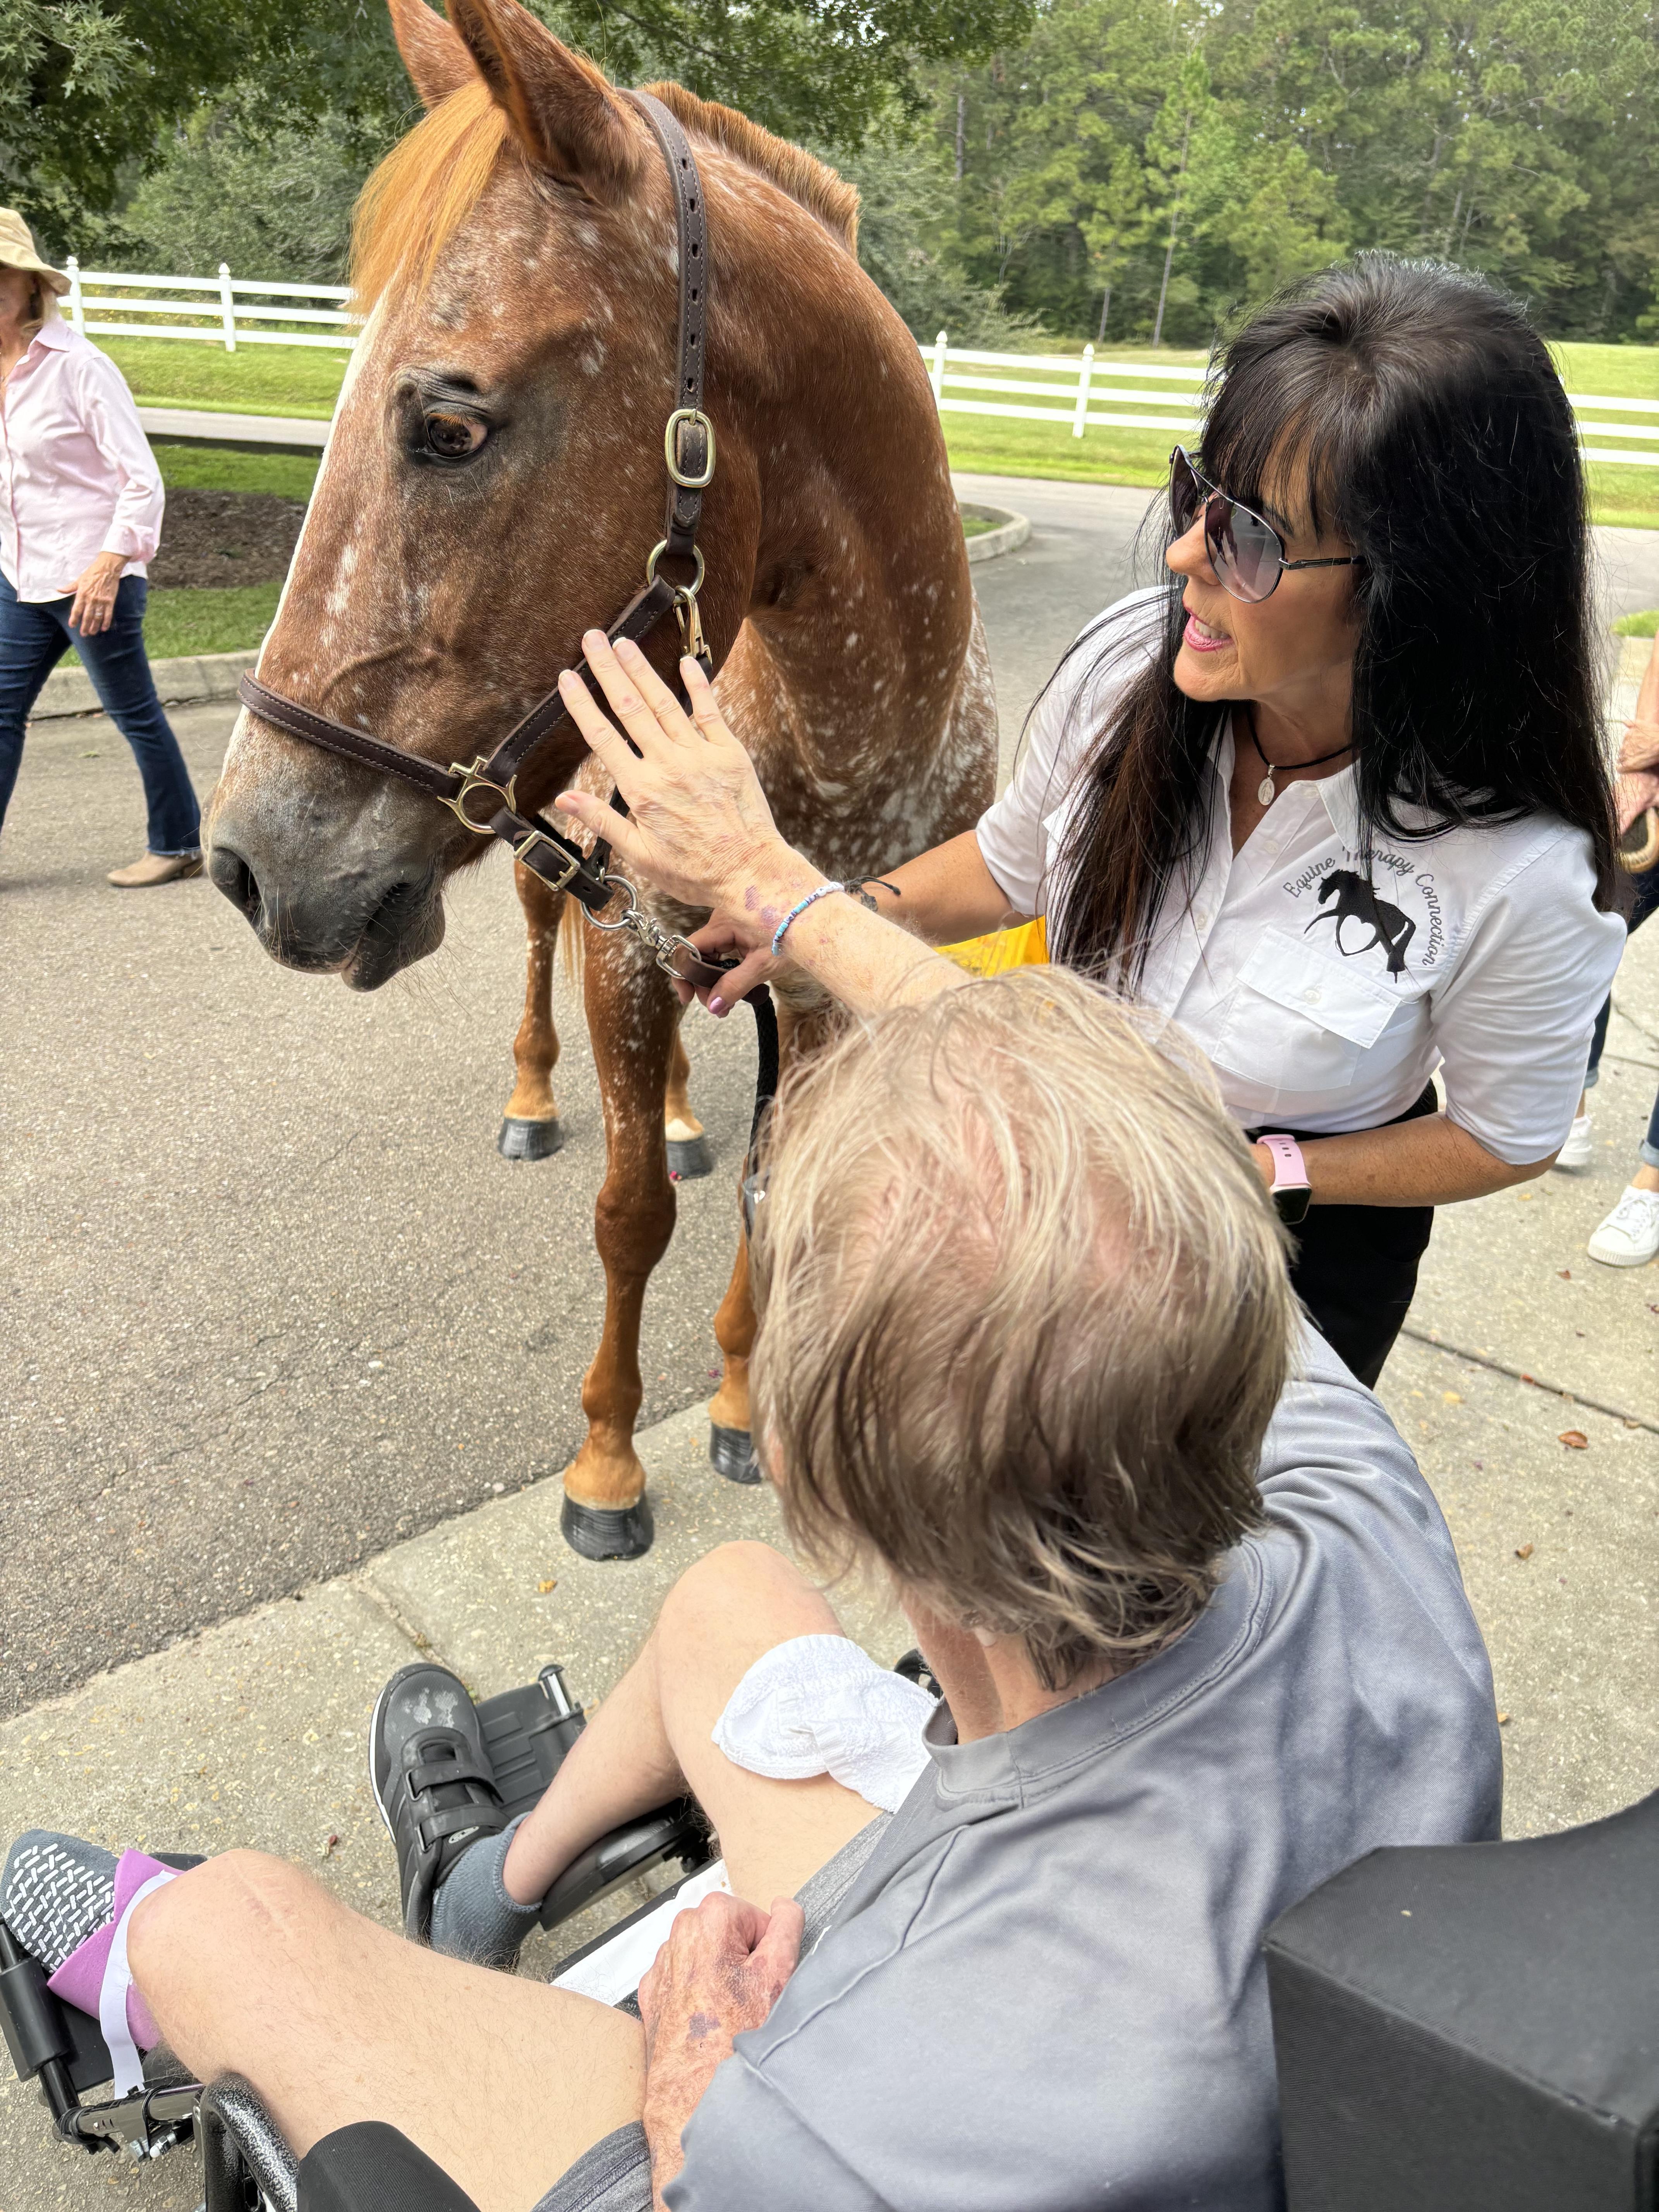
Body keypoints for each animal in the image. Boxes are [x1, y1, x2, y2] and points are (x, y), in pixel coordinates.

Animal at [205, 0, 998, 1558]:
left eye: (449, 423)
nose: (250, 863)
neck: (839, 739)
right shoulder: (622, 948)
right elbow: (629, 1215)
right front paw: (608, 1463)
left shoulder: (826, 989)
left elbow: (771, 1197)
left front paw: (743, 1407)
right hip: (549, 879)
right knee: (535, 962)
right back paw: (535, 1099)